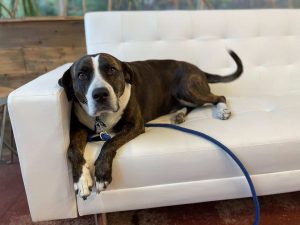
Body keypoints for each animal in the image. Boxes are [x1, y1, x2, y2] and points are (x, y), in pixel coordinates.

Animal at [59, 49, 244, 199]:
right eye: (81, 75)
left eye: (111, 70)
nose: (100, 94)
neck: (103, 117)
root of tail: (197, 68)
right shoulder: (78, 128)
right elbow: (72, 149)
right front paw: (81, 179)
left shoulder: (134, 125)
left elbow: (109, 143)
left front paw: (102, 174)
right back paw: (179, 114)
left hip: (187, 88)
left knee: (218, 97)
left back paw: (222, 110)